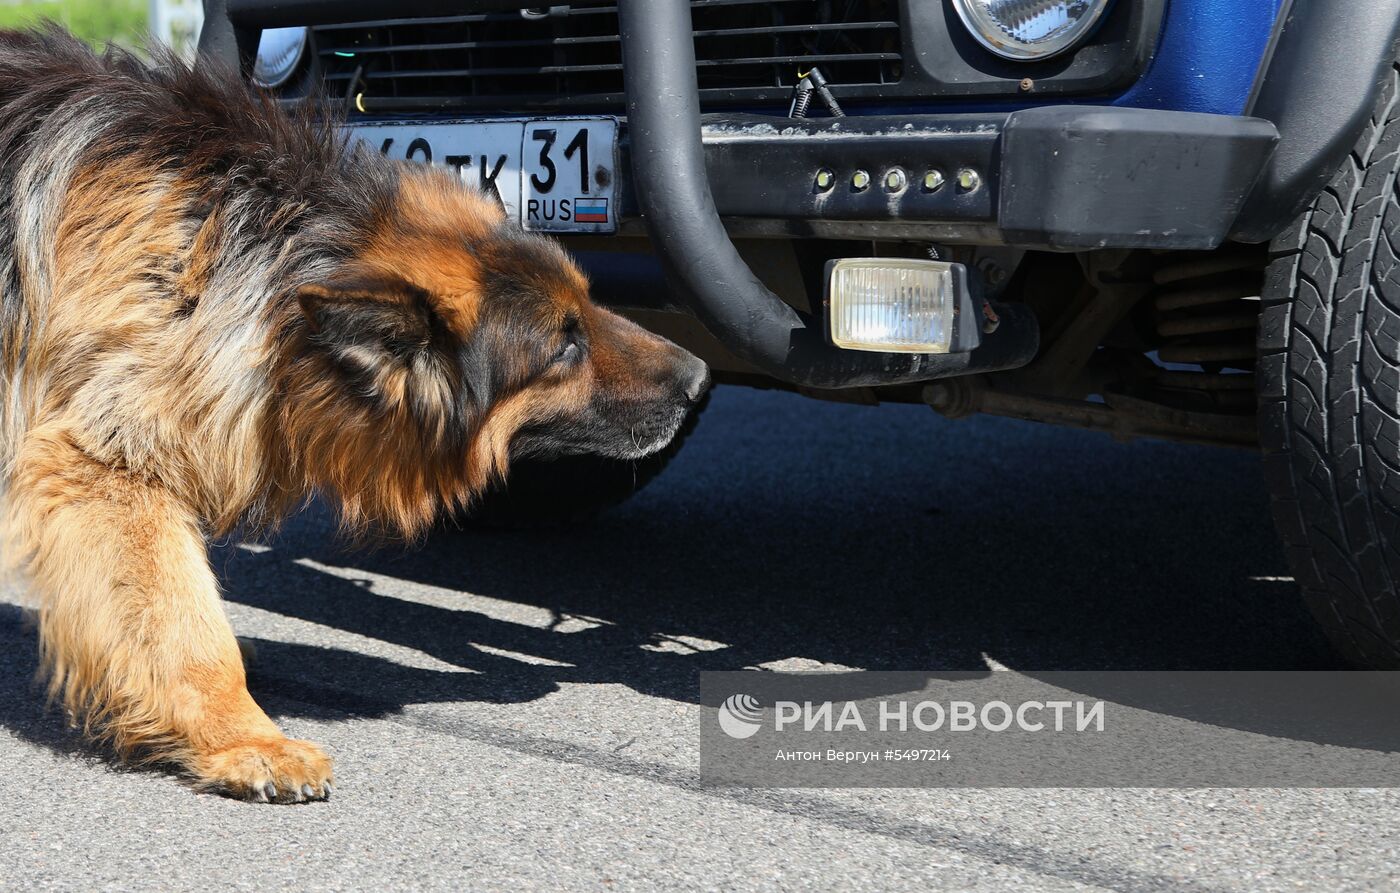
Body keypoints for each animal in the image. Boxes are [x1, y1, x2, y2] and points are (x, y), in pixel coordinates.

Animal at [0, 27, 705, 806]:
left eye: (589, 304)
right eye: (565, 344)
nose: (702, 379)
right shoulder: (100, 465)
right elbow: (184, 621)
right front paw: (245, 737)